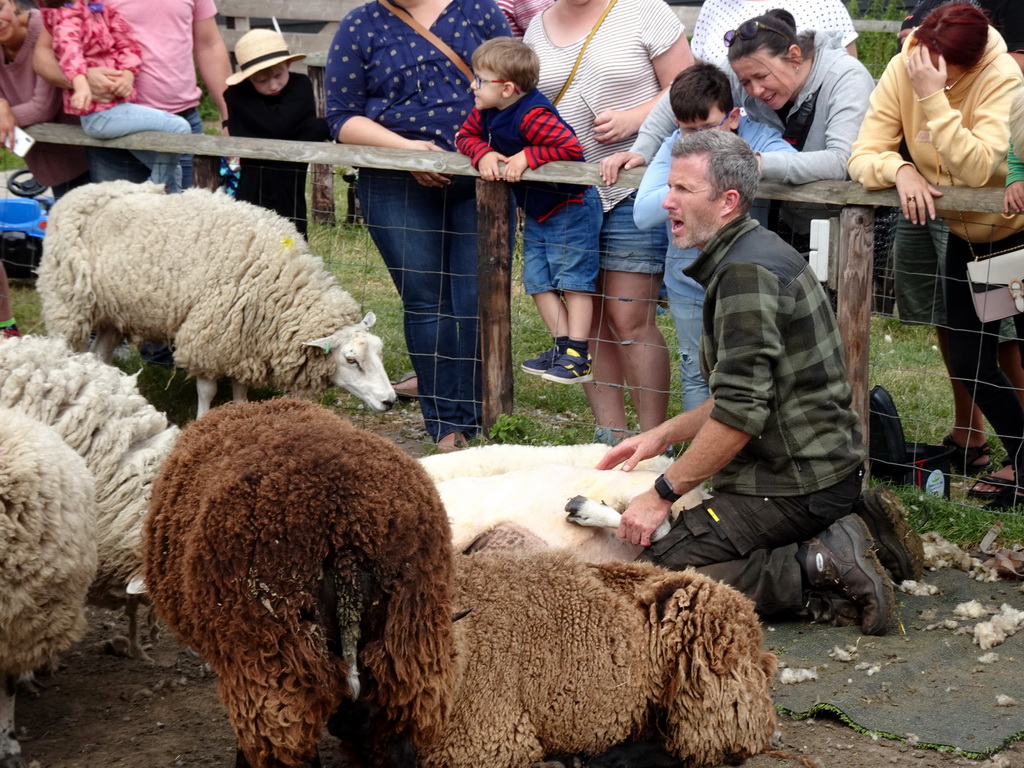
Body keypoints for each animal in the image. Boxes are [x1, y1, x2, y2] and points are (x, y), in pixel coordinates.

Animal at [37, 180, 395, 417]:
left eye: (380, 351)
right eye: (351, 360)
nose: (390, 400)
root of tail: (82, 191)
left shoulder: (241, 341)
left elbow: (240, 389)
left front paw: (239, 414)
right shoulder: (208, 338)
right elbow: (207, 391)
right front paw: (202, 420)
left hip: (114, 313)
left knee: (99, 355)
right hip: (67, 302)